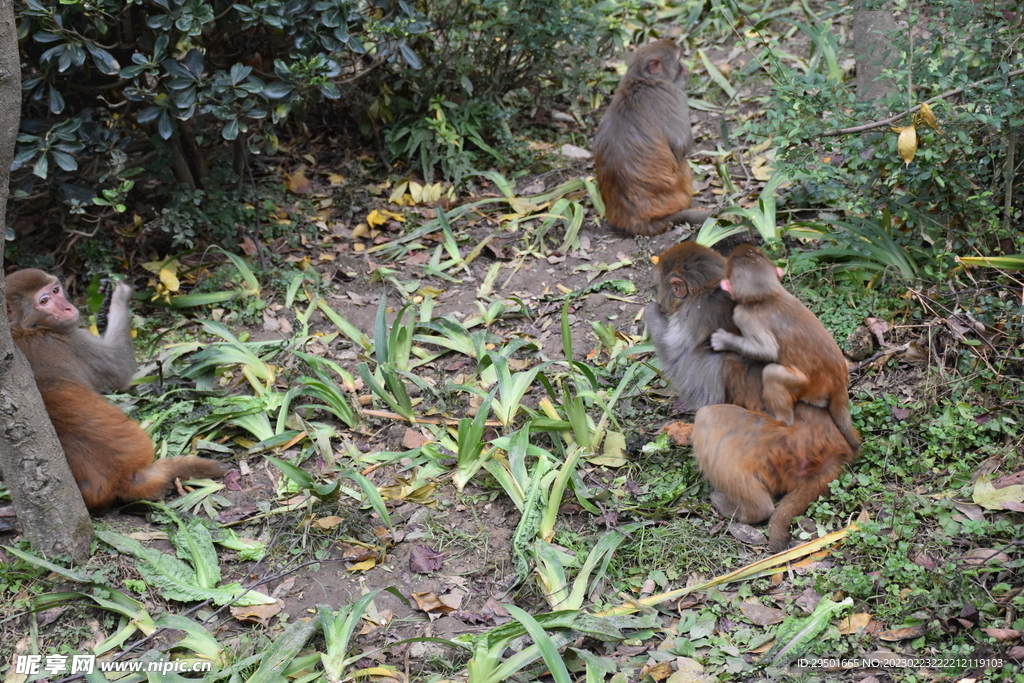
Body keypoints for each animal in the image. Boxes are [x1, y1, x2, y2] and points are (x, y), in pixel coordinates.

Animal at [7, 268, 224, 511]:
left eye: (55, 290)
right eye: (43, 301)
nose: (67, 308)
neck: (25, 328)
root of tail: (122, 479)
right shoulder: (73, 340)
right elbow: (121, 371)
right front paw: (119, 297)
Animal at [593, 40, 712, 237]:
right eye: (678, 60)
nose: (686, 67)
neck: (643, 80)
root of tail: (639, 223)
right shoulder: (672, 94)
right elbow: (681, 145)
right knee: (683, 164)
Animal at [708, 242, 860, 456]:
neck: (767, 296)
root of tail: (839, 384)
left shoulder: (743, 315)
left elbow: (767, 351)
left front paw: (722, 340)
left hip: (808, 387)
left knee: (772, 372)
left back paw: (780, 419)